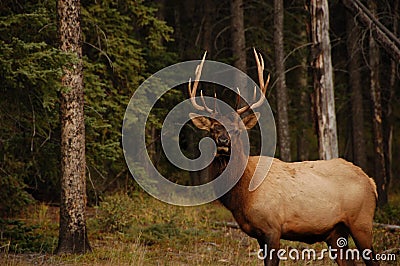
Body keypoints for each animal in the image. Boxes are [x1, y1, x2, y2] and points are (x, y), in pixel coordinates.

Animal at [188, 48, 378, 264]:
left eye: (236, 130)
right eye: (213, 129)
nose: (222, 142)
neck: (244, 194)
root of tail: (371, 182)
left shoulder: (272, 227)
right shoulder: (258, 234)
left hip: (362, 222)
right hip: (336, 232)